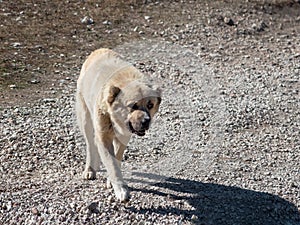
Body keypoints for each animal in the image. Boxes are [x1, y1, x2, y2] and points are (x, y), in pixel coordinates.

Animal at [75, 48, 162, 201]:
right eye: (133, 105)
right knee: (90, 144)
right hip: (85, 118)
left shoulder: (124, 137)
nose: (146, 120)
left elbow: (117, 157)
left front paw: (112, 181)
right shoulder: (104, 137)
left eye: (150, 105)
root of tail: (98, 50)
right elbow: (112, 163)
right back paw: (90, 169)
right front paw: (121, 189)